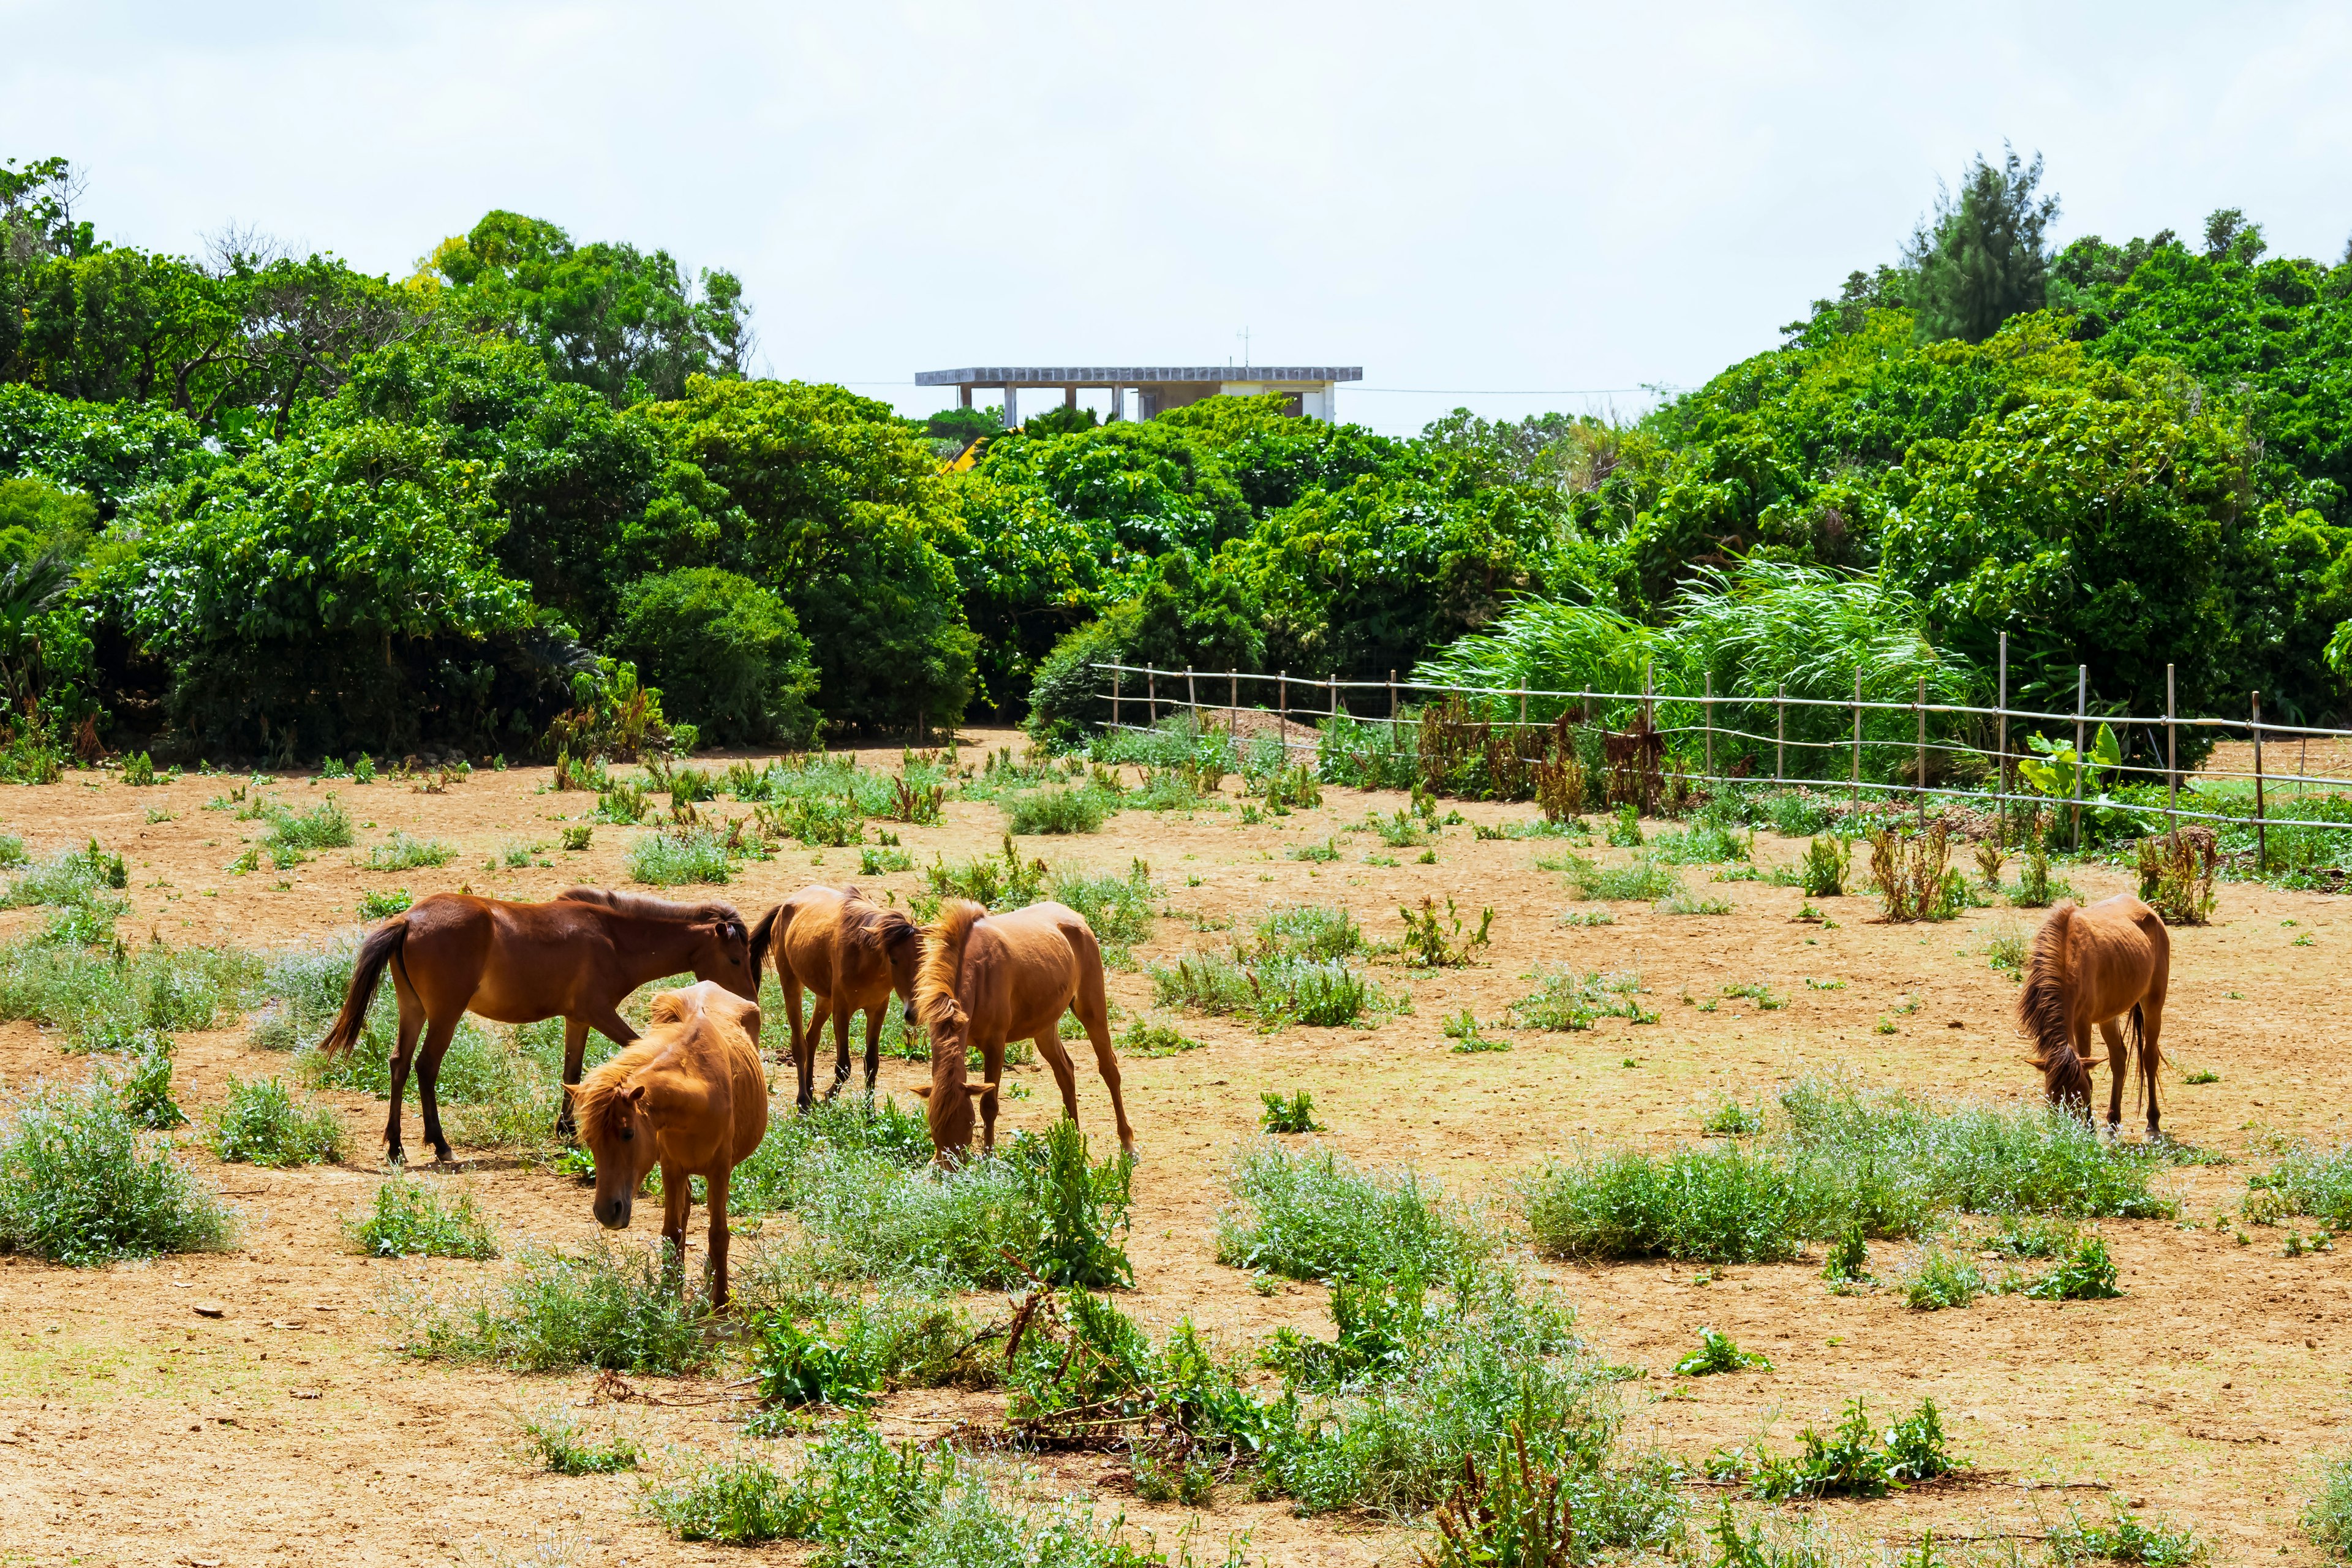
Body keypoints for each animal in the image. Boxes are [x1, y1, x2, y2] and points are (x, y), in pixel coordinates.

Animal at [317, 884, 757, 1166]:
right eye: (736, 959)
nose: (750, 1003)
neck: (615, 939)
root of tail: (409, 919)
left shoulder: (578, 1019)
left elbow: (572, 1071)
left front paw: (567, 1129)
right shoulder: (600, 1013)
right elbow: (635, 1054)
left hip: (414, 1010)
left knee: (400, 1064)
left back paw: (396, 1148)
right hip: (445, 1014)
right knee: (426, 1067)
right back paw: (440, 1145)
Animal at [562, 987, 762, 1306]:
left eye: (628, 1134)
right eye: (589, 1141)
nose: (606, 1213)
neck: (700, 1093)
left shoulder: (720, 1171)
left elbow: (719, 1234)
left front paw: (720, 1301)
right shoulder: (672, 1169)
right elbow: (672, 1232)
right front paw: (668, 1294)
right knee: (684, 1213)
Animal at [752, 884, 917, 1104]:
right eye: (894, 960)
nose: (913, 1013)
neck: (865, 956)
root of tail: (784, 906)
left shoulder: (877, 1010)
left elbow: (872, 1063)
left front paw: (869, 1111)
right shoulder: (842, 1011)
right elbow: (844, 1066)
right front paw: (829, 1096)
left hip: (825, 999)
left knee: (811, 1035)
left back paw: (810, 1091)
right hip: (791, 984)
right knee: (799, 1045)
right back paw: (803, 1099)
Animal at [903, 893, 1133, 1166]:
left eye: (968, 1124)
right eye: (934, 1126)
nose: (950, 1168)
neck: (975, 970)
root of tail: (1077, 918)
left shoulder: (995, 1046)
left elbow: (989, 1106)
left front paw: (989, 1159)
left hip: (1092, 1009)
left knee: (1109, 1068)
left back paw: (1127, 1144)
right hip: (1044, 1028)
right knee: (1065, 1072)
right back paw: (1072, 1142)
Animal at [2013, 893, 2173, 1142]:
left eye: (2080, 1096)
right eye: (2051, 1098)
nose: (2064, 1135)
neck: (2066, 956)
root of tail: (2150, 912)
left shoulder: (2083, 1021)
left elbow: (2088, 1073)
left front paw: (2089, 1128)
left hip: (2153, 1004)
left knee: (2149, 1058)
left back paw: (2152, 1125)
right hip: (2109, 1015)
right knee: (2119, 1059)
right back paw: (2113, 1123)